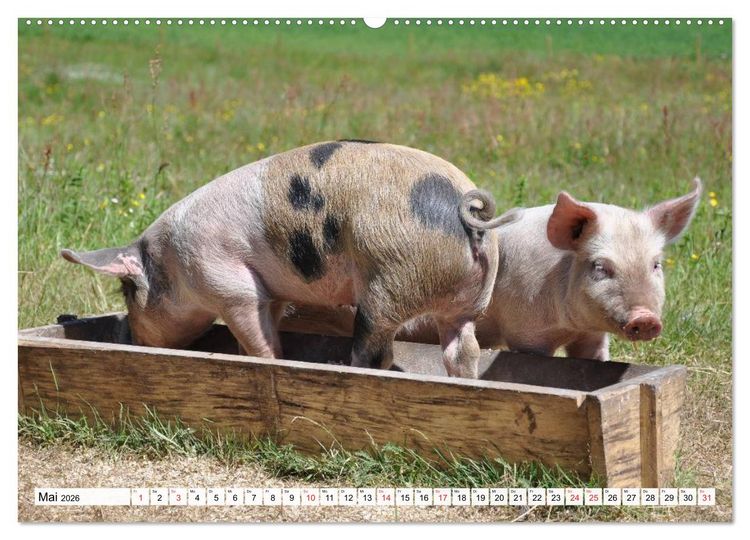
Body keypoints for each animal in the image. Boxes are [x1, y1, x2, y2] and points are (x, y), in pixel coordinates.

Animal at [61, 141, 516, 378]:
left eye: (127, 290)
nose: (134, 339)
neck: (172, 263)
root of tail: (467, 211)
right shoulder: (273, 290)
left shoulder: (228, 283)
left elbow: (257, 336)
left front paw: (268, 363)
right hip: (468, 303)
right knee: (463, 349)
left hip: (390, 280)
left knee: (375, 351)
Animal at [402, 178, 702, 361]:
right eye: (600, 267)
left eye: (656, 264)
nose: (645, 318)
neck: (568, 327)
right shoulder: (525, 332)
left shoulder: (591, 336)